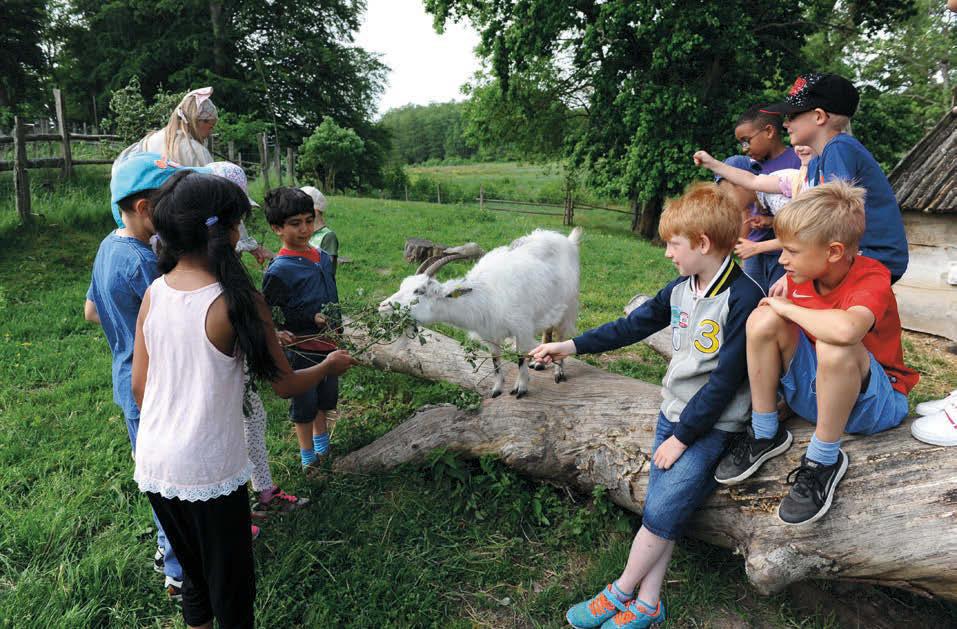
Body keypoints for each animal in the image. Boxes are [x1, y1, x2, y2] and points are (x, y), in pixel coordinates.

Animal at [380, 227, 576, 398]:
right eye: (402, 286)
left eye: (419, 291)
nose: (382, 307)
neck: (484, 297)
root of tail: (565, 239)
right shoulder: (490, 334)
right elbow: (495, 361)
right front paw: (497, 389)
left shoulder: (522, 329)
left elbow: (520, 358)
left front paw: (521, 388)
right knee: (548, 330)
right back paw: (539, 363)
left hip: (568, 304)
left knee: (561, 336)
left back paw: (558, 372)